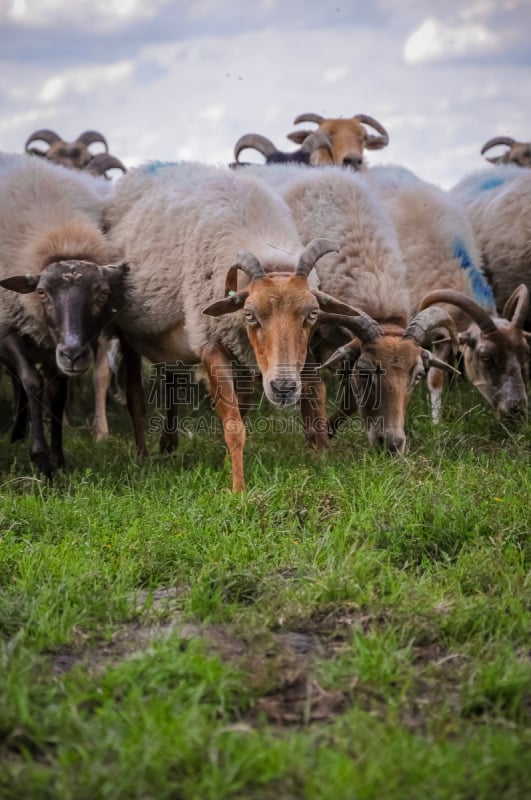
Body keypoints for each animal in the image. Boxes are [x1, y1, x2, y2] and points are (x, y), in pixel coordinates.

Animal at [0, 152, 129, 472]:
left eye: (102, 293)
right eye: (41, 292)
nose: (72, 354)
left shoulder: (56, 347)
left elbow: (57, 392)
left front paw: (58, 458)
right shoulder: (8, 330)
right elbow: (31, 382)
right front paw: (40, 458)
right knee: (18, 382)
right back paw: (17, 432)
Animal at [104, 160, 362, 490]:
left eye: (312, 314)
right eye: (249, 314)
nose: (283, 387)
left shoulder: (254, 356)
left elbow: (250, 407)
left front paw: (228, 462)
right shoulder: (211, 345)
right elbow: (233, 424)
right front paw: (238, 488)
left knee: (172, 380)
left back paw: (168, 443)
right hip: (128, 332)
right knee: (136, 396)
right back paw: (143, 455)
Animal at [241, 164, 458, 450]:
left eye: (418, 374)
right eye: (365, 372)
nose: (392, 445)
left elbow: (351, 402)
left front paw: (330, 429)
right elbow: (313, 386)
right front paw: (319, 437)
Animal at [366, 166, 531, 422]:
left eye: (524, 352)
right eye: (485, 357)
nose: (517, 411)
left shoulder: (445, 332)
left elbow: (436, 377)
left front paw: (436, 420)